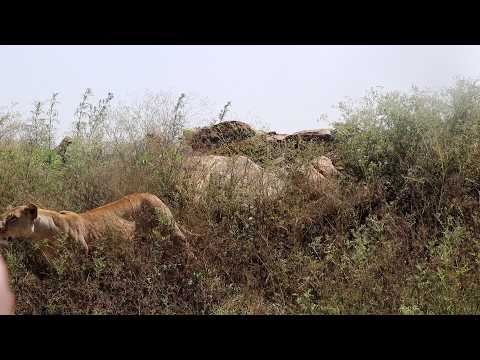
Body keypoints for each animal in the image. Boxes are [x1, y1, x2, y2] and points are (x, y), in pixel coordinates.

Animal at [0, 193, 191, 255]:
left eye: (12, 218)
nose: (0, 229)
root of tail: (153, 194)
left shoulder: (83, 251)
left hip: (169, 226)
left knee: (183, 241)